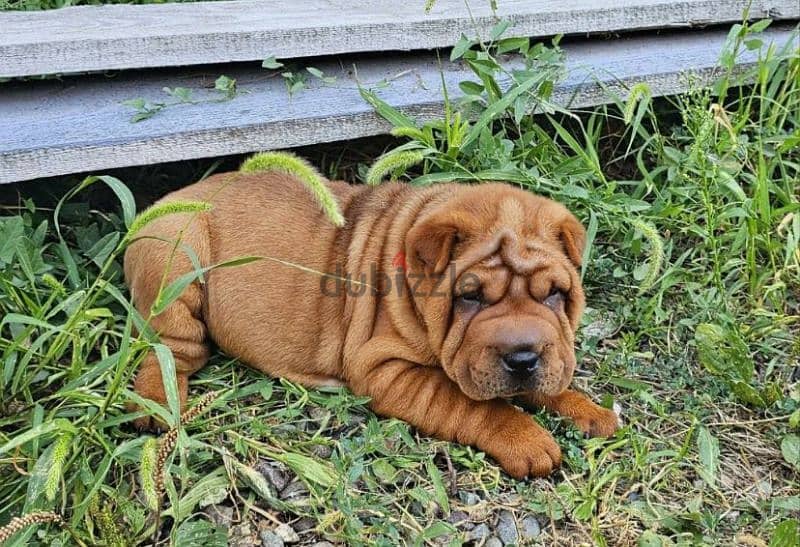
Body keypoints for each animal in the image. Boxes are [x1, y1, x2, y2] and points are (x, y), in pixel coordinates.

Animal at [126, 171, 620, 480]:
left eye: (554, 294)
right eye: (470, 296)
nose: (522, 358)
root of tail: (155, 208)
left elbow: (552, 379)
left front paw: (587, 409)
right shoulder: (386, 370)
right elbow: (474, 404)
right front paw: (527, 439)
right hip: (177, 262)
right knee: (168, 350)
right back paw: (156, 404)